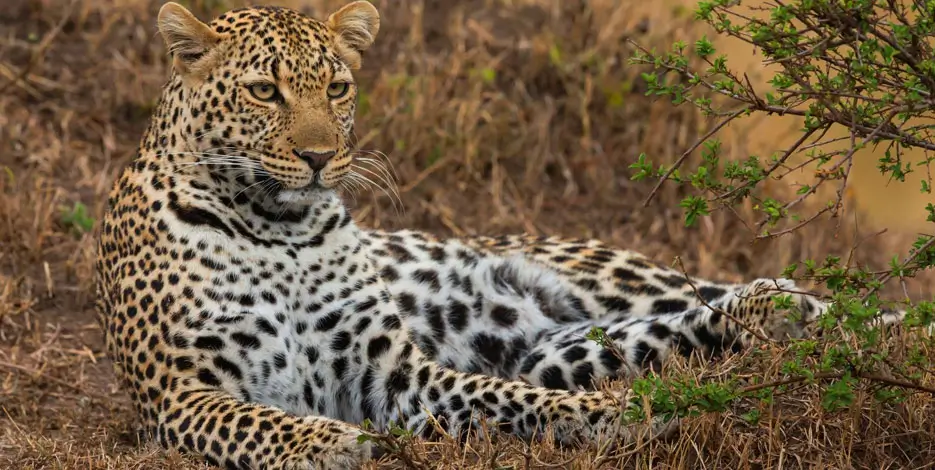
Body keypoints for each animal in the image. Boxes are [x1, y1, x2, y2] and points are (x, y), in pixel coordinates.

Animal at [94, 2, 903, 469]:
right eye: (264, 91)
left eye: (337, 88)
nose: (322, 157)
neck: (281, 230)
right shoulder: (182, 394)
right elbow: (263, 423)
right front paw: (332, 442)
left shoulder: (395, 374)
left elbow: (502, 395)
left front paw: (617, 415)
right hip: (565, 346)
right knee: (696, 325)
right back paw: (788, 317)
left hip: (614, 280)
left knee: (755, 302)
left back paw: (837, 319)